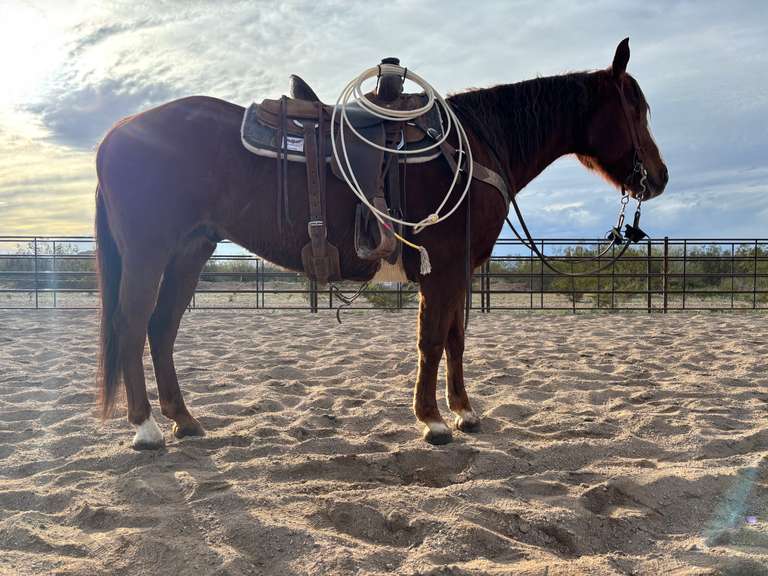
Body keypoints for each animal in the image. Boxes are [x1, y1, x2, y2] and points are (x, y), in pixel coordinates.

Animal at [94, 38, 668, 450]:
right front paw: (432, 421)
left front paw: (464, 412)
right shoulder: (442, 269)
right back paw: (145, 428)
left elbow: (455, 340)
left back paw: (184, 421)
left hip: (190, 251)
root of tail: (120, 131)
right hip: (149, 253)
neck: (475, 147)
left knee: (162, 328)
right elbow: (432, 341)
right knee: (133, 325)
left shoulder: (459, 271)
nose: (658, 177)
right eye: (636, 109)